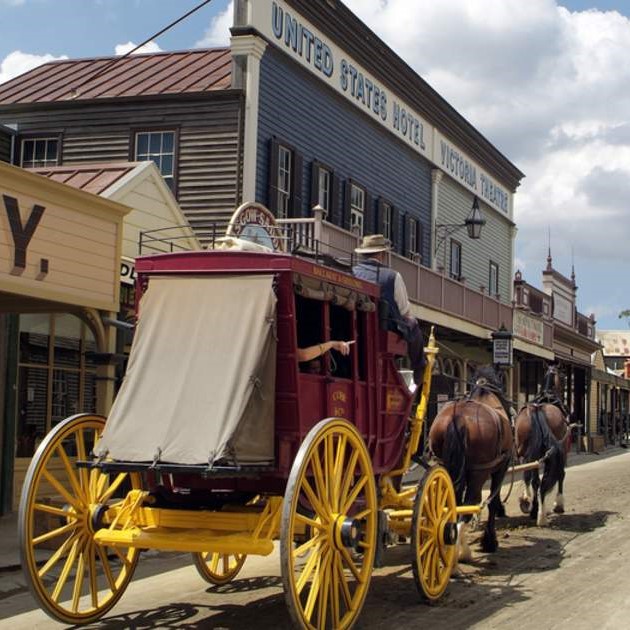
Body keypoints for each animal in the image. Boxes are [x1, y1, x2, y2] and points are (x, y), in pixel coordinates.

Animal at [430, 366, 512, 564]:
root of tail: (459, 418)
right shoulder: (501, 467)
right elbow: (492, 502)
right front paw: (490, 542)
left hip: (446, 467)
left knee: (453, 504)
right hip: (479, 472)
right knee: (468, 505)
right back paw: (462, 554)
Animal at [520, 366, 572, 528]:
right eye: (563, 377)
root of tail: (538, 409)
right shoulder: (563, 450)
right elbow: (561, 474)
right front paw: (559, 504)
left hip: (525, 453)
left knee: (531, 479)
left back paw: (530, 505)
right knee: (541, 480)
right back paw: (540, 514)